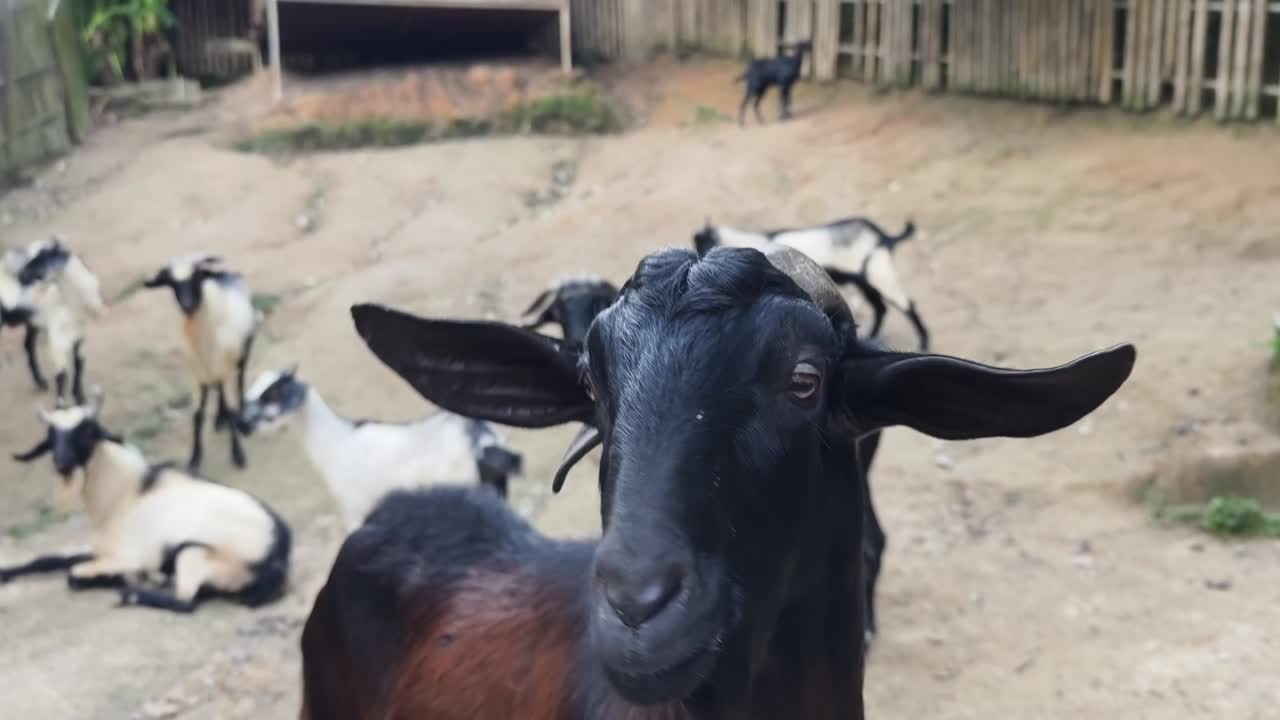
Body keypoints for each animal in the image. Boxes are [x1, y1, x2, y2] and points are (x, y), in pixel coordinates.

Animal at [1, 389, 291, 614]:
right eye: (51, 436)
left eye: (87, 431)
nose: (62, 465)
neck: (124, 494)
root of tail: (279, 553)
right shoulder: (101, 548)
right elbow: (44, 559)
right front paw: (5, 573)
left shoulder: (125, 556)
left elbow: (73, 575)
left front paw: (129, 579)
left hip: (194, 552)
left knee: (185, 602)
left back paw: (135, 591)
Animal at [13, 238, 106, 404]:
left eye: (41, 259)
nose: (20, 276)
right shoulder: (57, 338)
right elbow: (61, 375)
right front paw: (61, 405)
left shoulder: (81, 333)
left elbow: (79, 364)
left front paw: (80, 397)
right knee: (29, 345)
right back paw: (41, 382)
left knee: (28, 343)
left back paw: (40, 382)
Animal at [142, 254, 259, 471]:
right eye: (172, 283)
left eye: (197, 277)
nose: (187, 304)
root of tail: (227, 275)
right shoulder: (196, 377)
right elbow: (197, 415)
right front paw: (194, 458)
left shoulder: (226, 369)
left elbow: (231, 410)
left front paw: (238, 454)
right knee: (220, 389)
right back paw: (220, 419)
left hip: (242, 353)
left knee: (239, 382)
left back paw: (240, 416)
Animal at [239, 367, 522, 531]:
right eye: (251, 391)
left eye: (272, 394)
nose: (242, 425)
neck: (336, 441)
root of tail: (481, 441)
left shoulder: (356, 508)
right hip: (496, 491)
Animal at [694, 216, 930, 351]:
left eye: (701, 243)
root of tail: (883, 237)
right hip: (865, 282)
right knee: (880, 308)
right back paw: (872, 335)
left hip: (879, 273)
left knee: (907, 305)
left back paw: (924, 341)